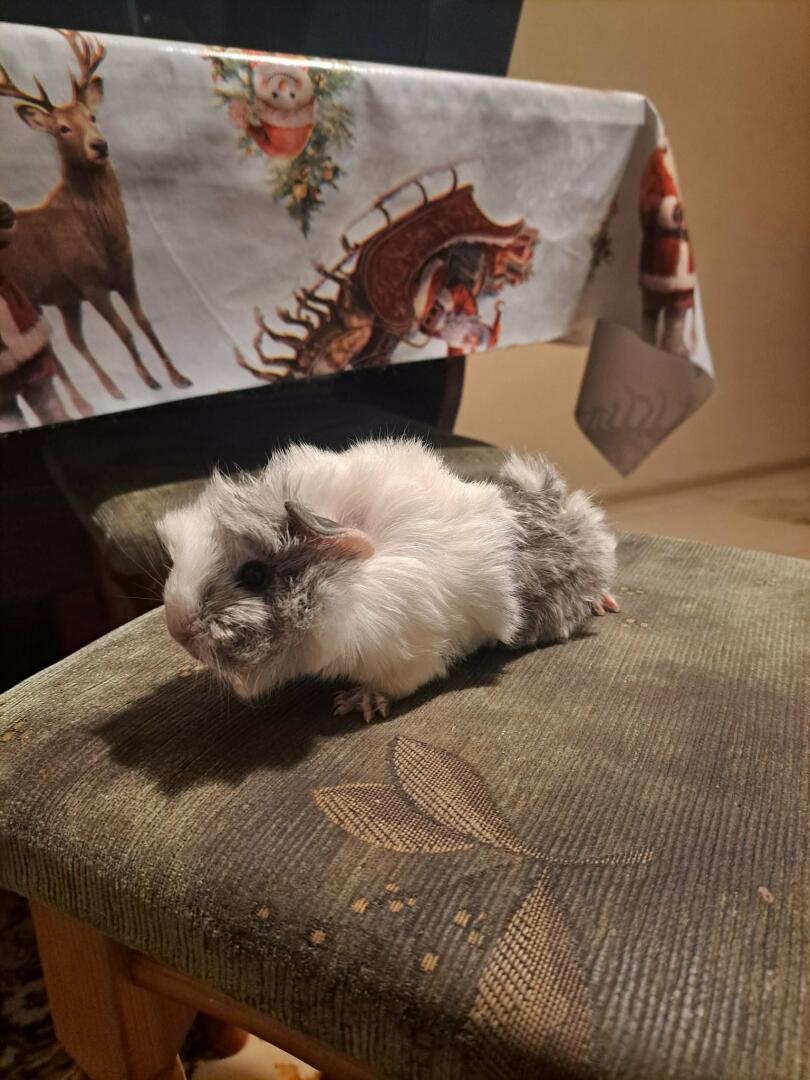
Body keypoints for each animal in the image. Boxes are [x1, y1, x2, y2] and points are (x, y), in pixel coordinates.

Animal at [157, 439, 618, 722]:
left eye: (254, 574)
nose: (177, 630)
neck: (352, 586)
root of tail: (563, 503)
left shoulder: (408, 657)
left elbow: (389, 685)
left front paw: (351, 705)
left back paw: (605, 604)